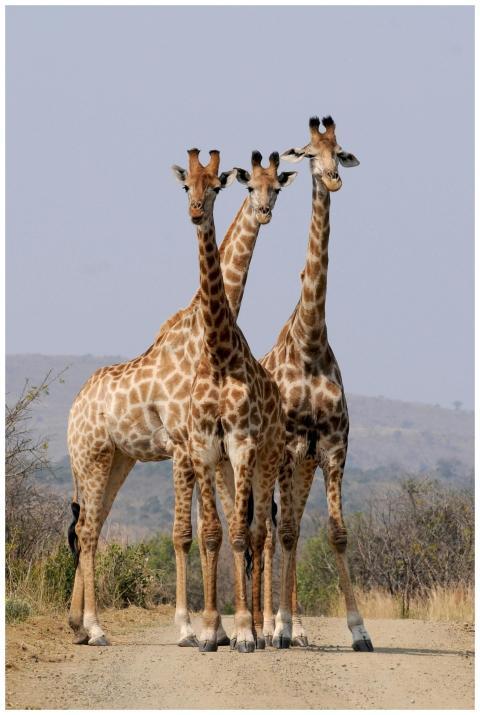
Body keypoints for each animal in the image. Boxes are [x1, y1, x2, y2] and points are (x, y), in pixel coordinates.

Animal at [66, 149, 297, 647]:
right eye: (187, 186)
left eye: (276, 188)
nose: (264, 213)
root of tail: (74, 407)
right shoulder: (182, 445)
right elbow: (183, 534)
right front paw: (191, 628)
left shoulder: (207, 448)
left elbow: (218, 528)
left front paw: (223, 630)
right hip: (91, 456)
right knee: (88, 528)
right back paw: (94, 627)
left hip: (118, 459)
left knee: (91, 524)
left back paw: (78, 623)